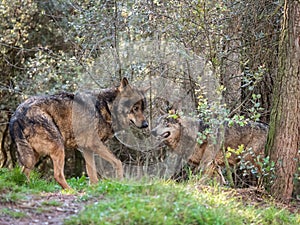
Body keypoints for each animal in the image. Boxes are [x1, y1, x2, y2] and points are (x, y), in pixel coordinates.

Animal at [9, 77, 148, 188]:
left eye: (143, 109)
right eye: (135, 108)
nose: (146, 125)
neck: (106, 107)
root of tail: (16, 115)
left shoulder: (87, 149)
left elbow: (92, 174)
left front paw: (94, 189)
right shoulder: (94, 144)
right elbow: (118, 162)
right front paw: (120, 182)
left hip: (33, 156)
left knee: (24, 173)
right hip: (58, 148)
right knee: (57, 175)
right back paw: (72, 191)